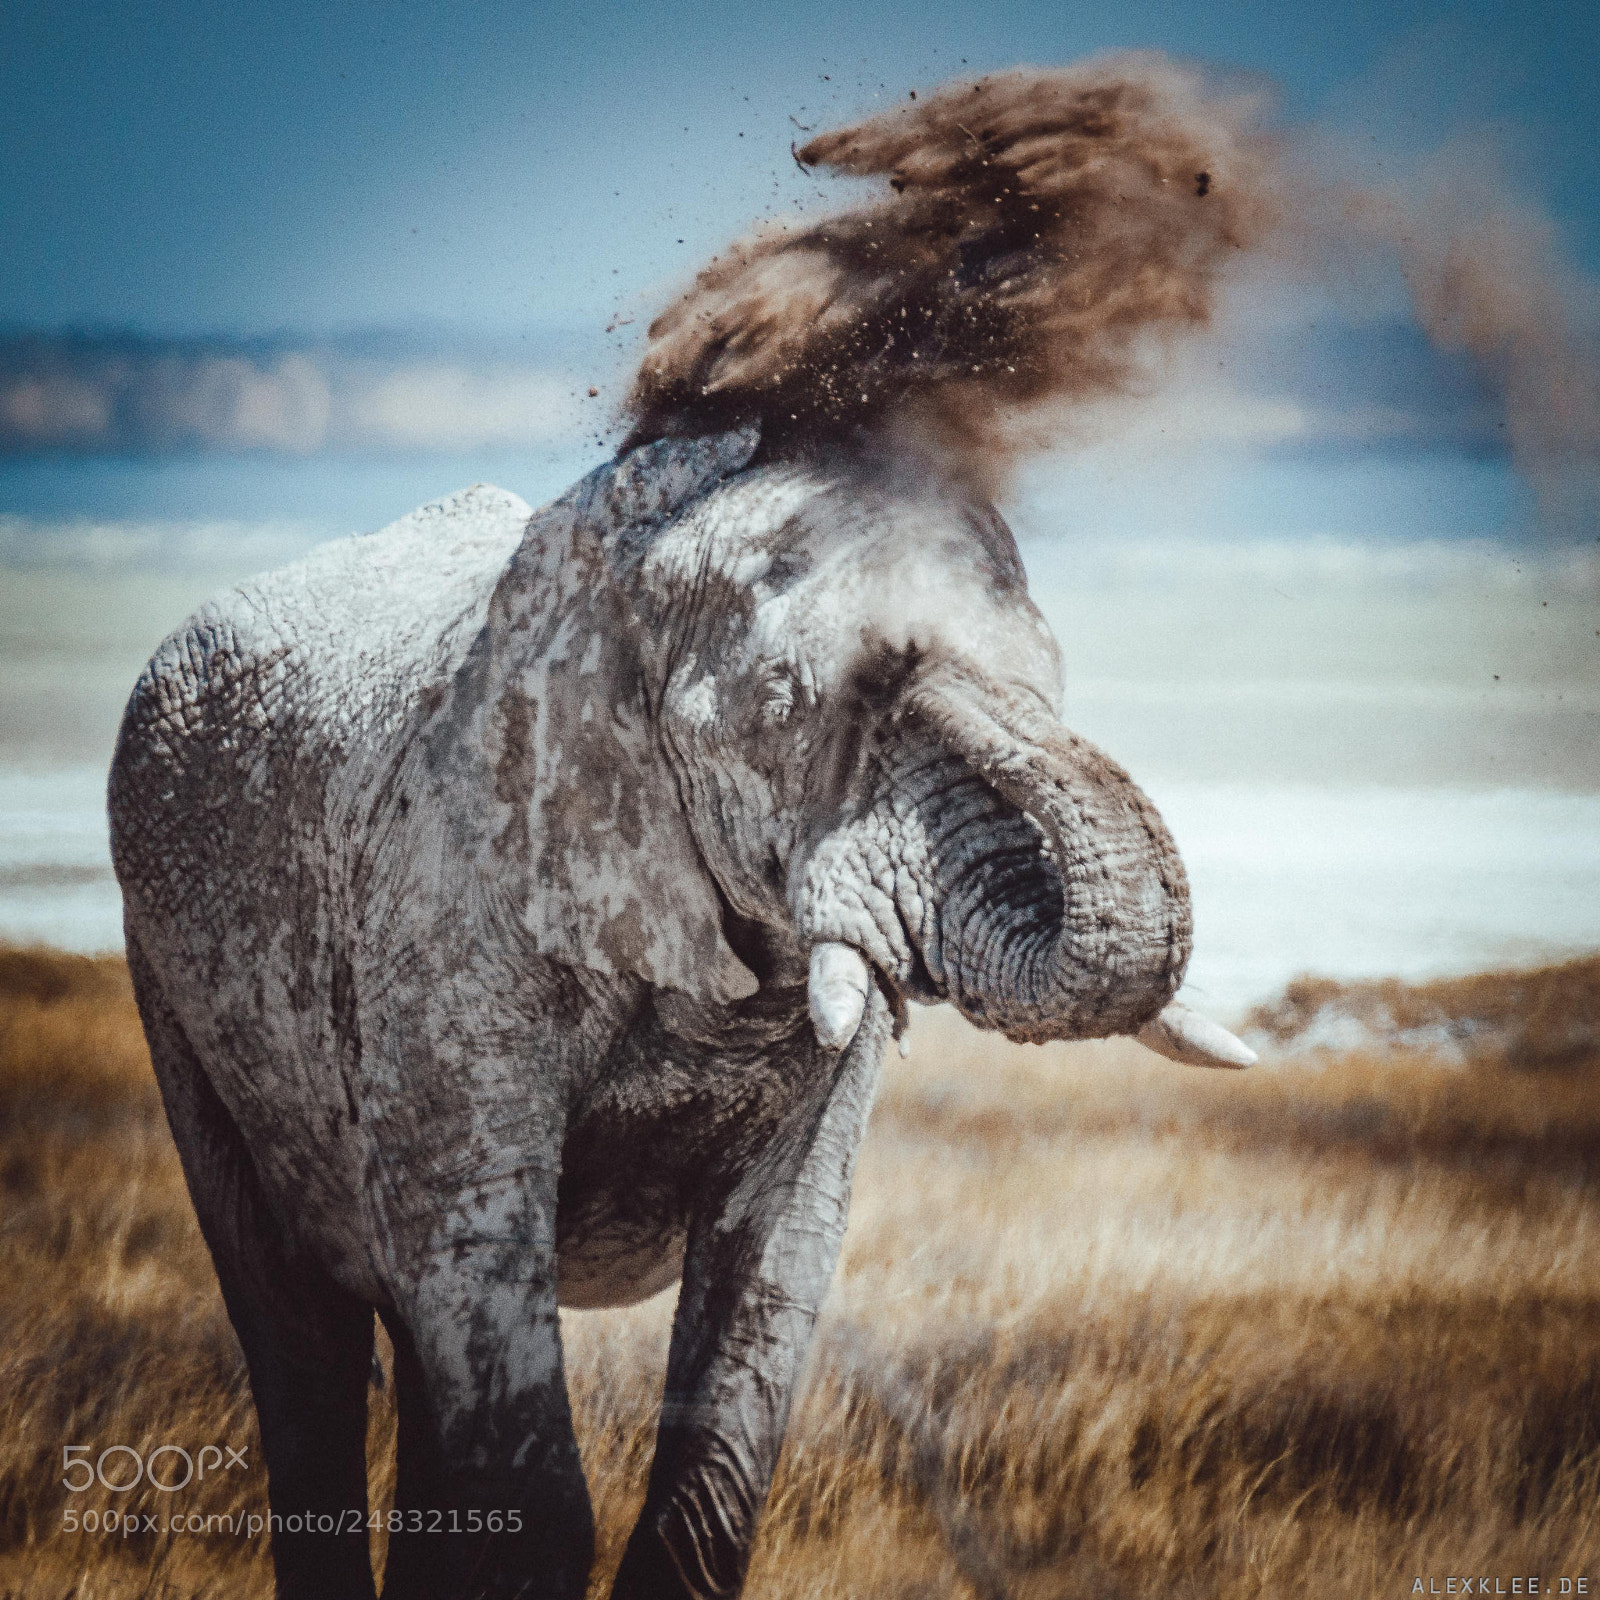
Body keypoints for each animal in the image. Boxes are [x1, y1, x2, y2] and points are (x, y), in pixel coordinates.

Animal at [108, 424, 1252, 1600]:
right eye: (791, 708)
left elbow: (770, 1265)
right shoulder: (446, 903)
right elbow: (473, 1233)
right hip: (168, 979)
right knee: (303, 1337)